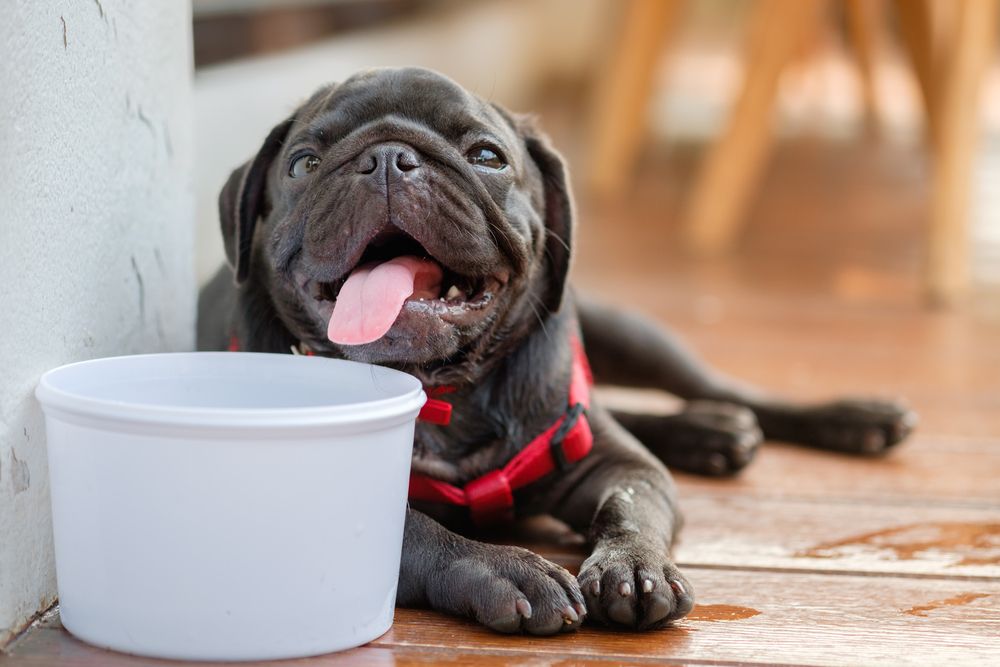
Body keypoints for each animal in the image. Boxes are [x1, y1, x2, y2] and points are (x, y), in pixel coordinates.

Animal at [195, 68, 916, 636]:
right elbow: (421, 532)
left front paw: (633, 565)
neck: (444, 393)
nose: (386, 158)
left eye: (488, 156)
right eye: (303, 164)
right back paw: (708, 433)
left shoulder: (615, 463)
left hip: (630, 333)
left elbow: (631, 501)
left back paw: (841, 418)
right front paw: (510, 570)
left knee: (717, 387)